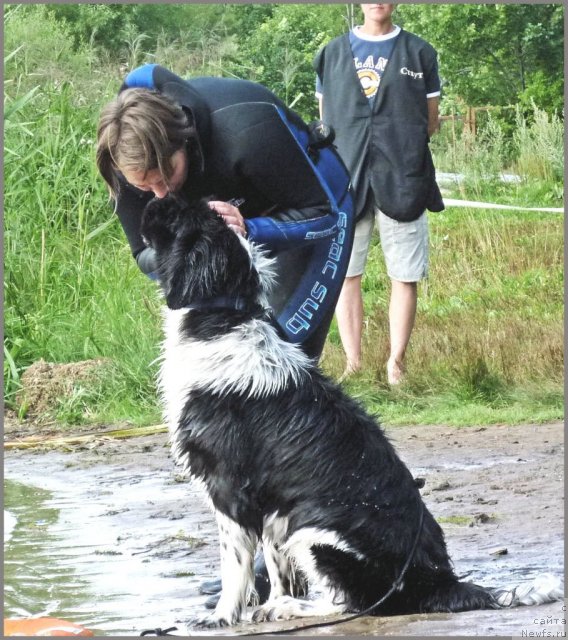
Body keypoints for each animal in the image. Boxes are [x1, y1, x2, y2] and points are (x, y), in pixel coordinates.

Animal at [141, 196, 560, 632]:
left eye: (180, 215)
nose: (153, 201)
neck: (225, 317)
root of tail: (438, 582)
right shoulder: (273, 505)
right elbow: (275, 566)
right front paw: (266, 603)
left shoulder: (230, 490)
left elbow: (235, 565)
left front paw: (223, 615)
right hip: (301, 523)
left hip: (316, 532)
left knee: (347, 603)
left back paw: (293, 608)